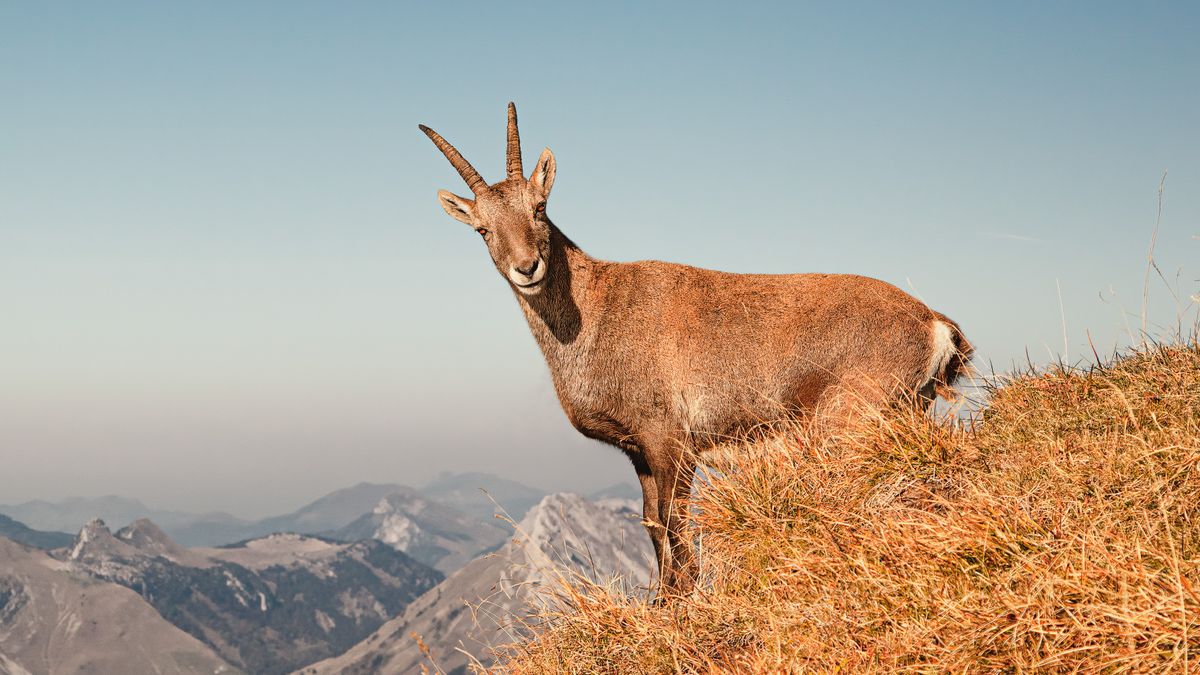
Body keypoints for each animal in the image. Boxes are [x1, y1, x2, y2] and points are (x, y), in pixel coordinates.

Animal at [417, 102, 969, 595]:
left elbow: (673, 524)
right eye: (483, 229)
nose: (527, 267)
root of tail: (933, 323)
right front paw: (661, 603)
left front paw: (684, 602)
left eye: (539, 208)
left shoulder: (672, 442)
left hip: (853, 418)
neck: (597, 312)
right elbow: (650, 524)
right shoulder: (638, 451)